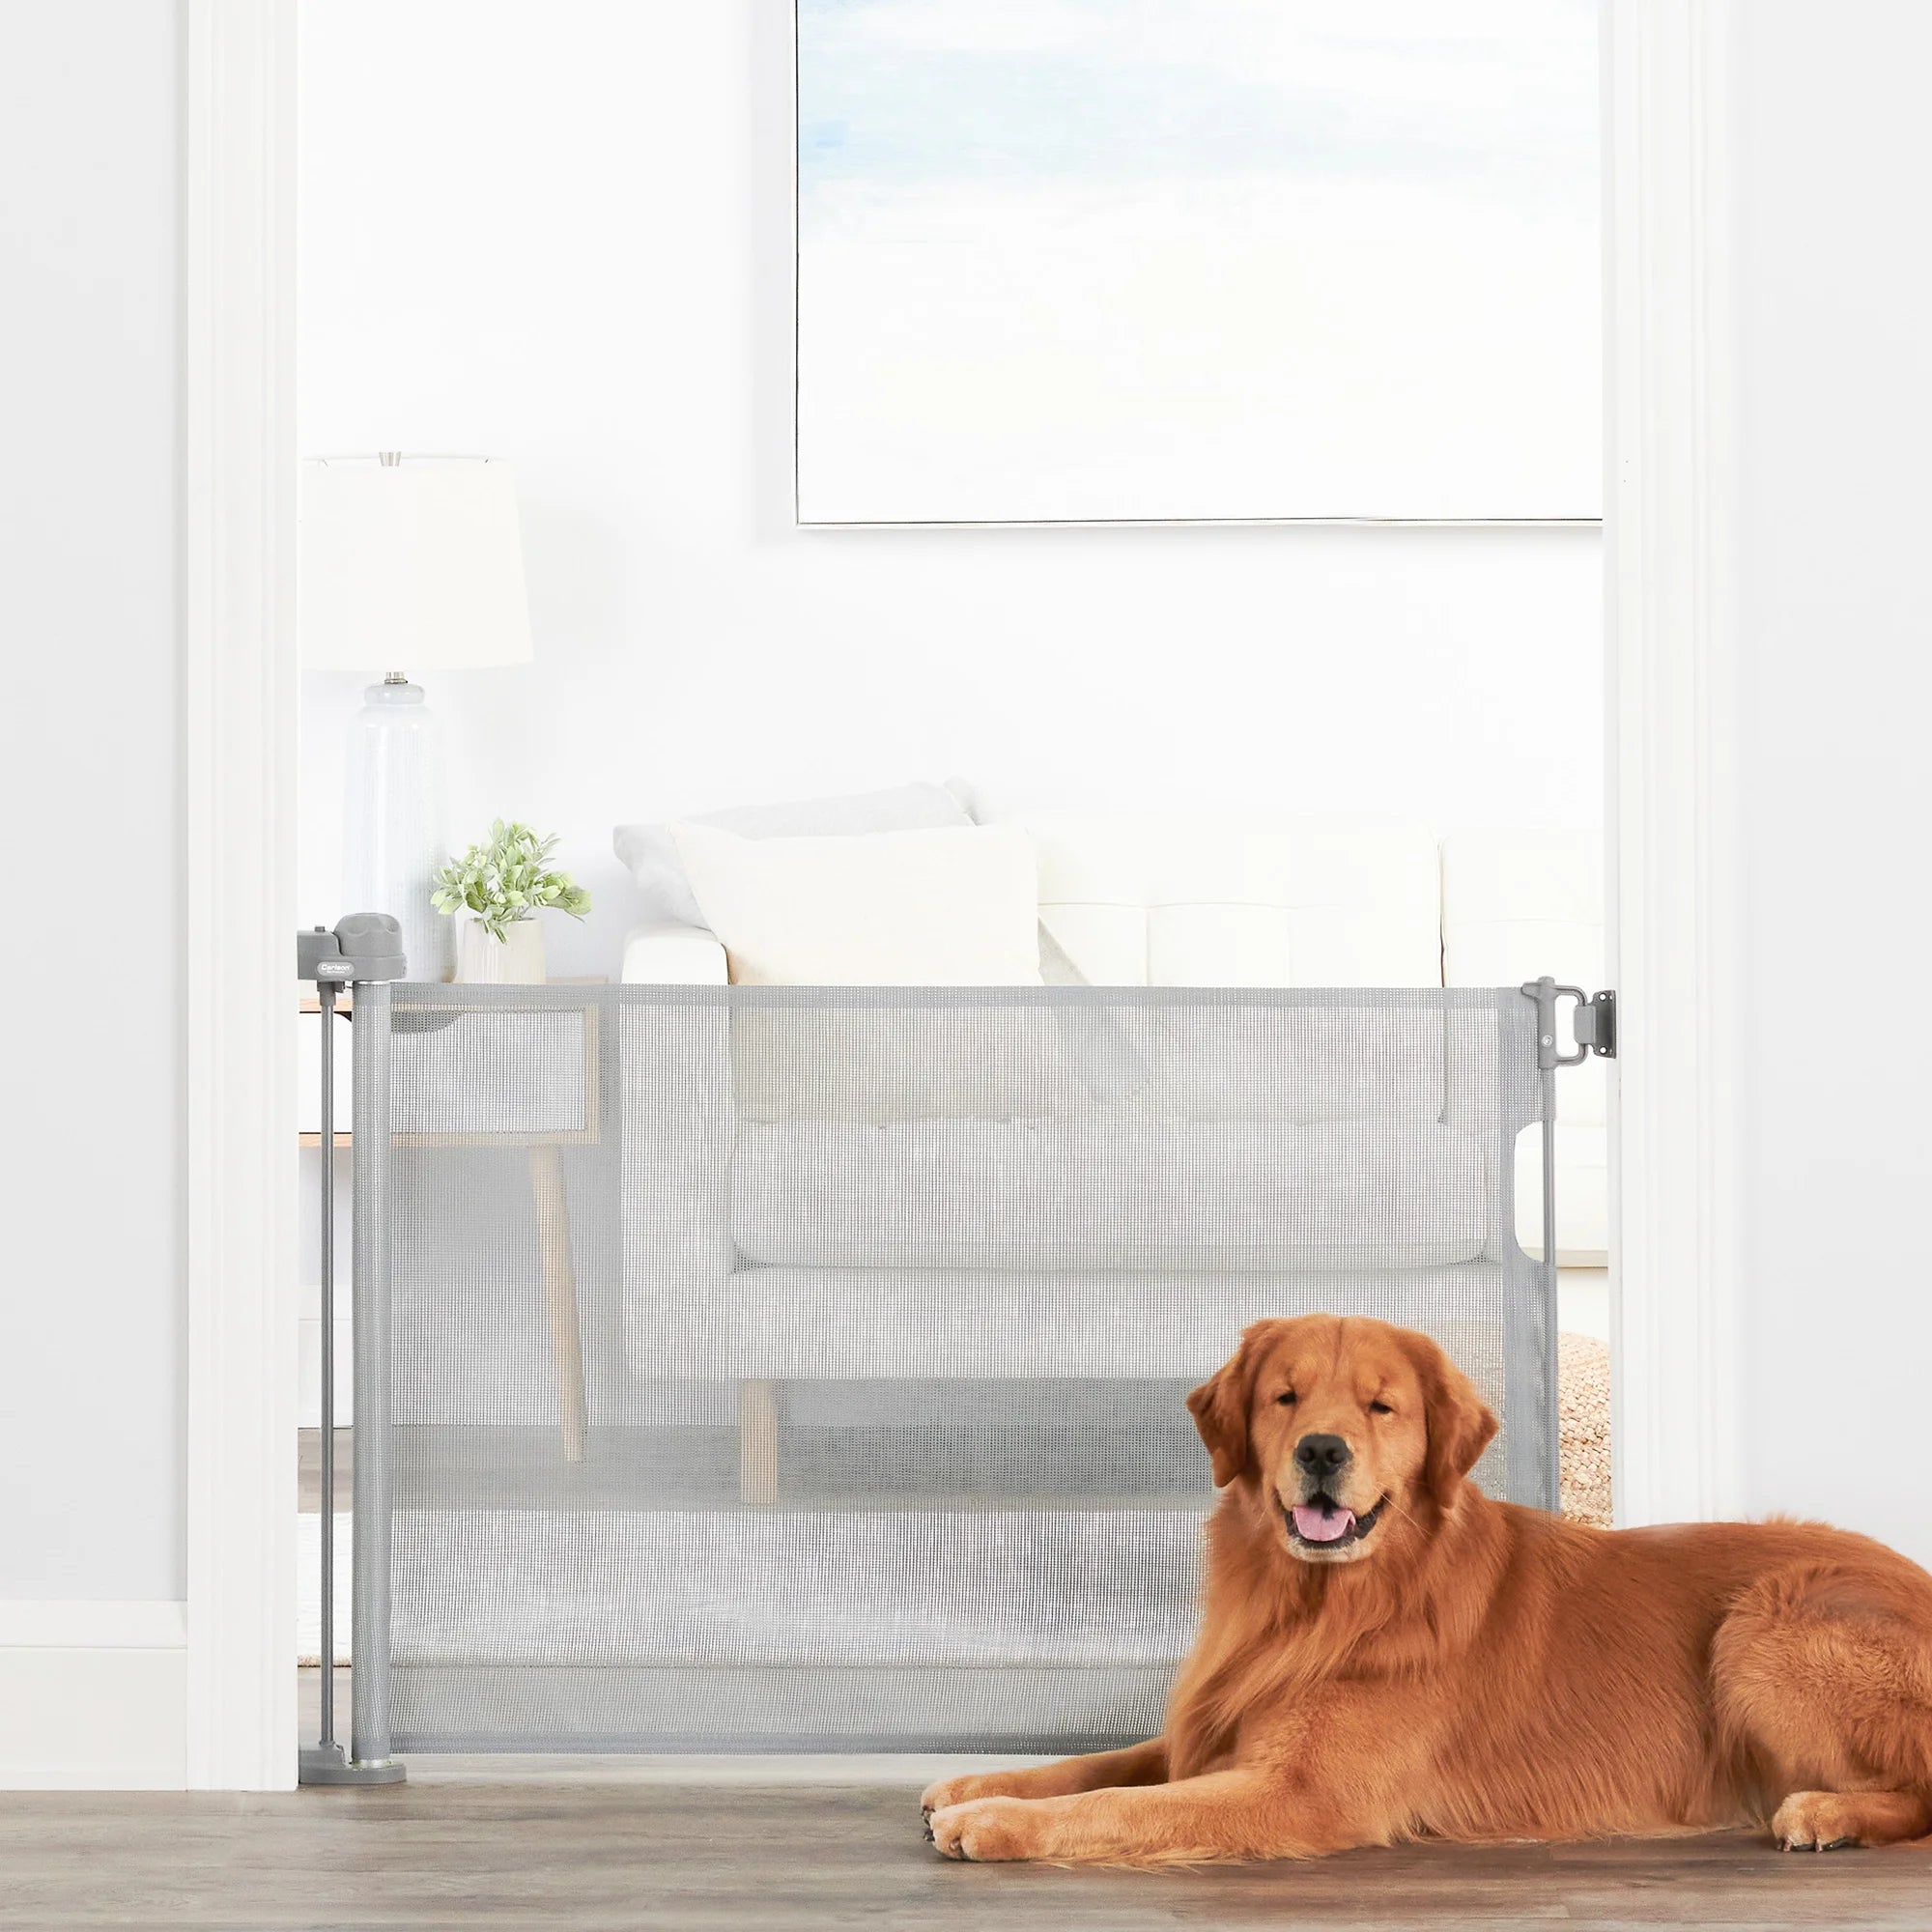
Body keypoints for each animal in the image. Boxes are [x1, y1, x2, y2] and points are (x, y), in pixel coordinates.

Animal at [920, 1306, 1932, 1862]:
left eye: (1381, 1406)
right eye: (1284, 1396)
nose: (1321, 1451)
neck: (1325, 1604)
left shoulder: (1300, 1791)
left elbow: (1118, 1804)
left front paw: (993, 1821)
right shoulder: (1215, 1728)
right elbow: (1103, 1764)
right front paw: (978, 1783)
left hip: (1762, 1626)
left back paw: (1828, 1812)